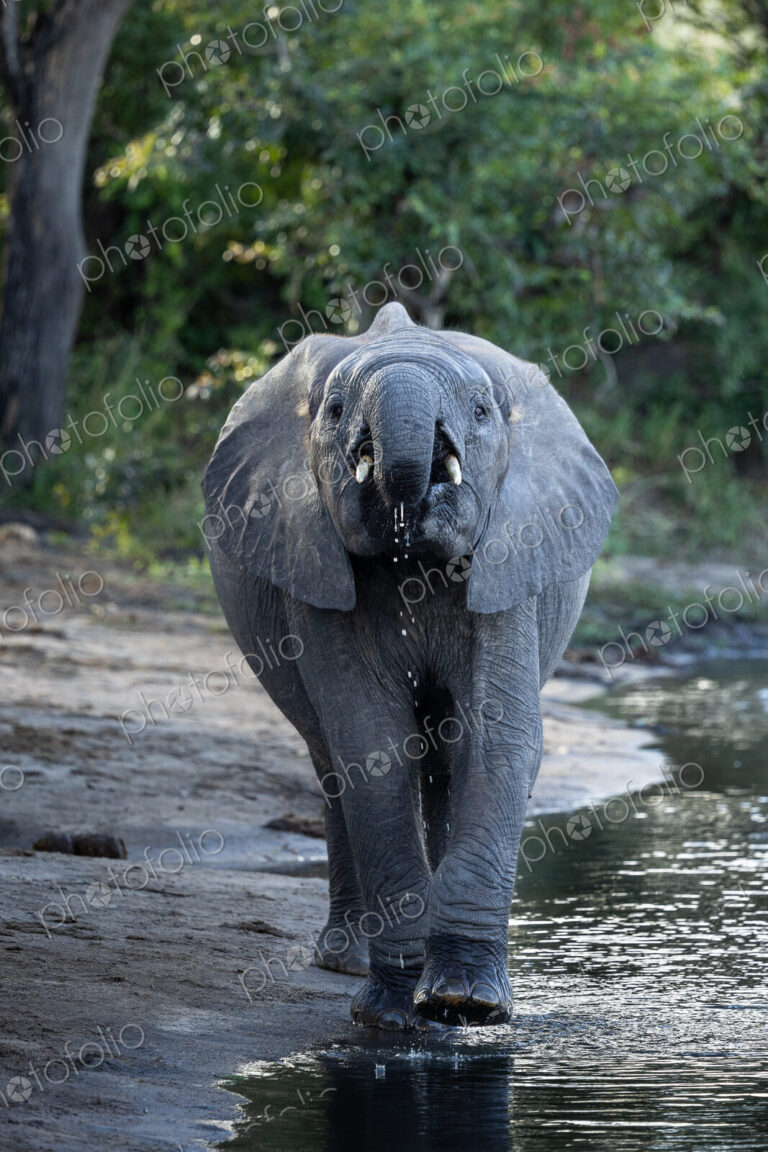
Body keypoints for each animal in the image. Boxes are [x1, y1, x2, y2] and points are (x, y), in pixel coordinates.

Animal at [202, 302, 618, 1030]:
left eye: (481, 411)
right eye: (335, 410)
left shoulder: (510, 553)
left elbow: (498, 736)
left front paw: (464, 1002)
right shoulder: (312, 561)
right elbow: (371, 743)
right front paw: (392, 1014)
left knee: (445, 755)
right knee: (331, 759)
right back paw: (347, 960)